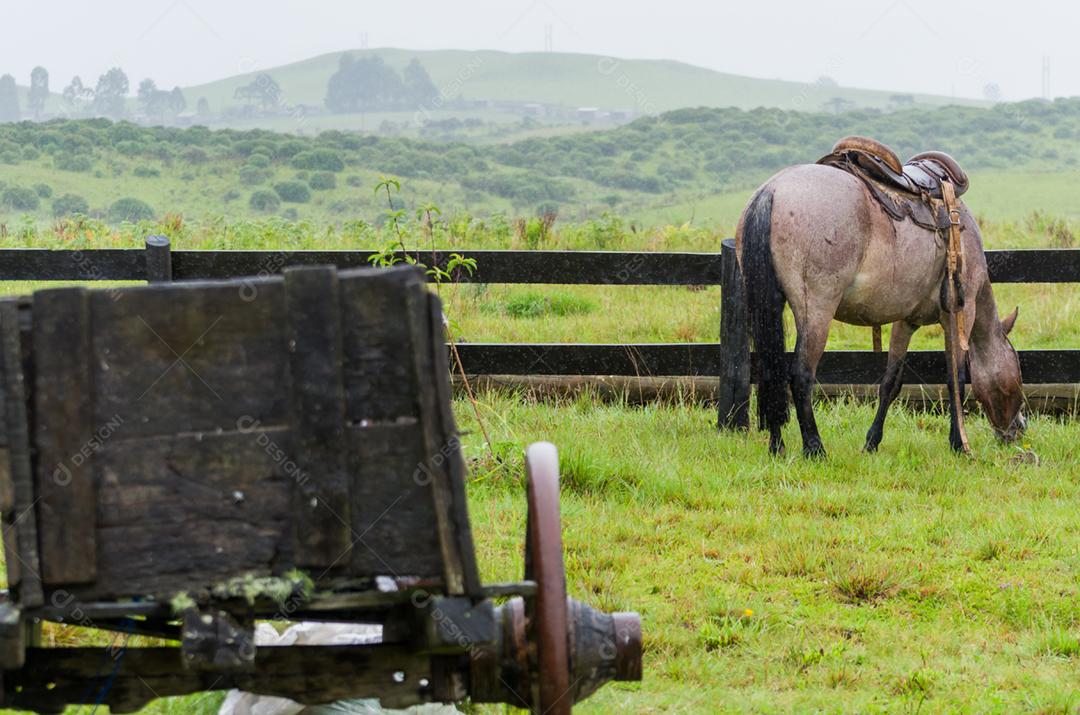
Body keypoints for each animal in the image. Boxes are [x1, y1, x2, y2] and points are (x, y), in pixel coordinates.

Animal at [735, 162, 1024, 457]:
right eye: (1018, 372)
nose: (1018, 430)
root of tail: (772, 191)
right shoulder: (957, 316)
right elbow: (955, 380)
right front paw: (958, 442)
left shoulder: (906, 321)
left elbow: (890, 382)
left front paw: (872, 441)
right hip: (816, 313)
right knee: (801, 376)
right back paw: (815, 448)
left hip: (770, 308)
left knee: (771, 373)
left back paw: (777, 445)